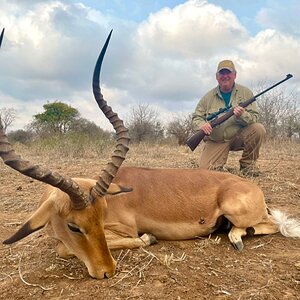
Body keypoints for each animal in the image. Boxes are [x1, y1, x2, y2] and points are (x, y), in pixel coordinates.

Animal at [0, 32, 300, 278]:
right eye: (74, 226)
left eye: (100, 216)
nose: (107, 271)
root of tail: (253, 188)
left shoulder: (123, 230)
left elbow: (64, 248)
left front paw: (149, 239)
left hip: (237, 210)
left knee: (271, 224)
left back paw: (236, 237)